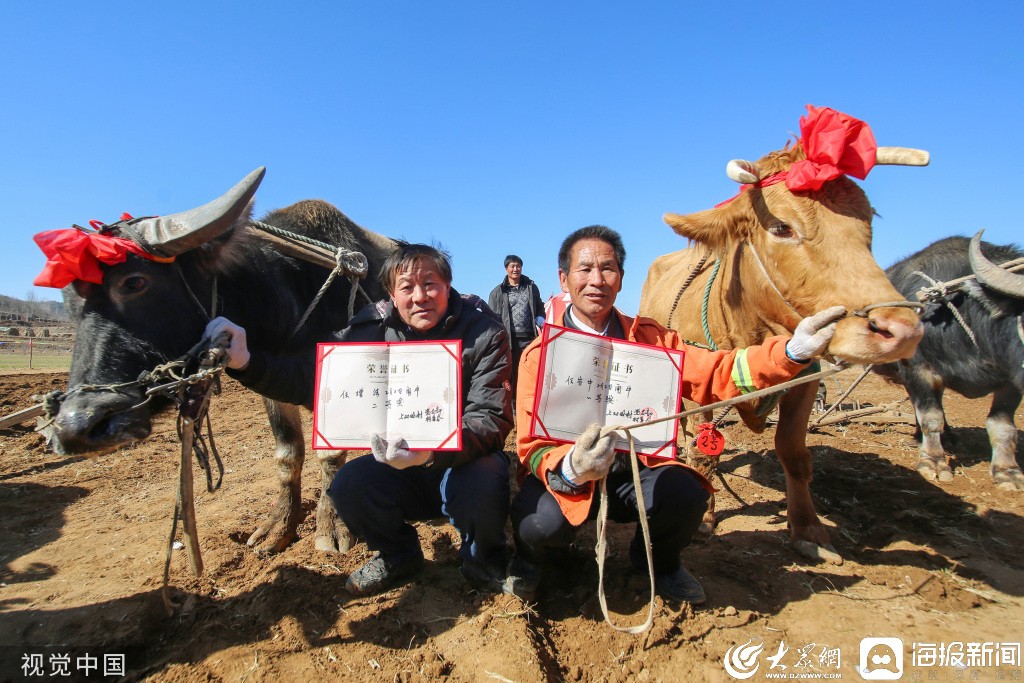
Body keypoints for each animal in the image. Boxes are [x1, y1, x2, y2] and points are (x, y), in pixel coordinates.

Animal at [647, 109, 929, 565]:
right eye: (781, 227)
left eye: (868, 220)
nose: (900, 329)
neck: (752, 327)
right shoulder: (696, 388)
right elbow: (703, 452)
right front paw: (705, 515)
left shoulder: (806, 378)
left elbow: (794, 453)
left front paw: (809, 530)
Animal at [876, 231, 1024, 491]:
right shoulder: (918, 369)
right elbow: (931, 416)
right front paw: (934, 462)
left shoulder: (1010, 379)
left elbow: (1003, 427)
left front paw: (1007, 472)